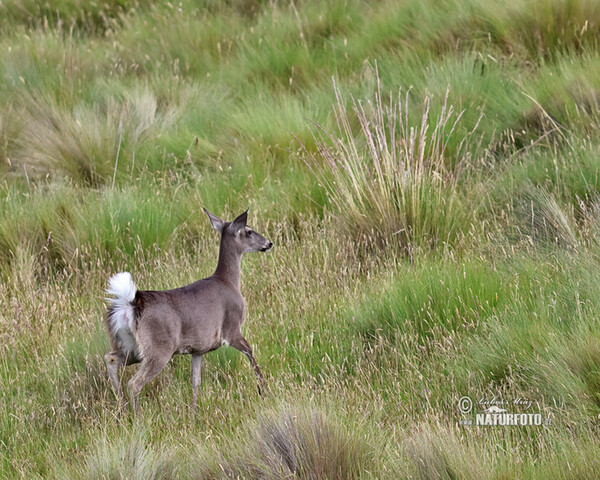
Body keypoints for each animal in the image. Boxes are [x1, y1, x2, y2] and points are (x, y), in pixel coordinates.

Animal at [103, 209, 272, 412]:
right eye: (249, 231)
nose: (269, 243)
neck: (229, 281)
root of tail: (129, 305)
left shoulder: (198, 349)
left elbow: (195, 380)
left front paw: (194, 410)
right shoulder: (231, 329)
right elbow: (250, 352)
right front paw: (263, 389)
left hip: (131, 346)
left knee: (110, 359)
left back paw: (122, 410)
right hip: (159, 348)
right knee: (134, 383)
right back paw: (137, 415)